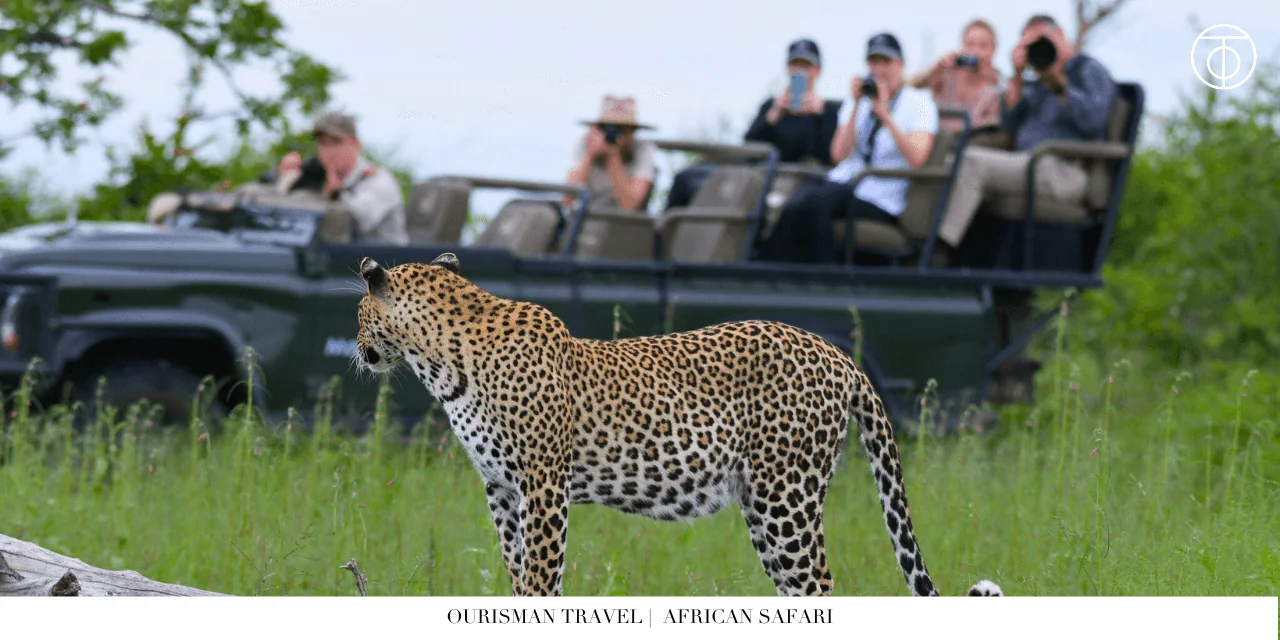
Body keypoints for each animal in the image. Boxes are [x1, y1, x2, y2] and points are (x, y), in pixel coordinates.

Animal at [354, 252, 1003, 598]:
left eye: (358, 312)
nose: (359, 351)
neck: (441, 363)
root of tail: (839, 356)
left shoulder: (542, 485)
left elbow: (541, 576)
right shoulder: (500, 488)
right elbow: (516, 572)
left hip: (786, 498)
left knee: (819, 586)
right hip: (764, 508)